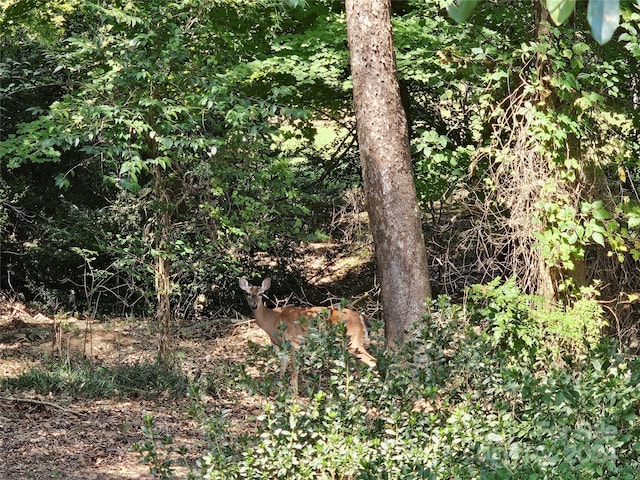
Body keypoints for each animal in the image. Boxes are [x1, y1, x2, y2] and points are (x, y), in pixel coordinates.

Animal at [239, 276, 376, 392]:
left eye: (260, 294)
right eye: (247, 293)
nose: (254, 305)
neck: (272, 321)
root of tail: (359, 316)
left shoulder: (294, 342)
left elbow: (294, 370)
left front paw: (294, 393)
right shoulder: (280, 346)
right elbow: (282, 368)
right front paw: (280, 390)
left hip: (352, 339)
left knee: (372, 361)